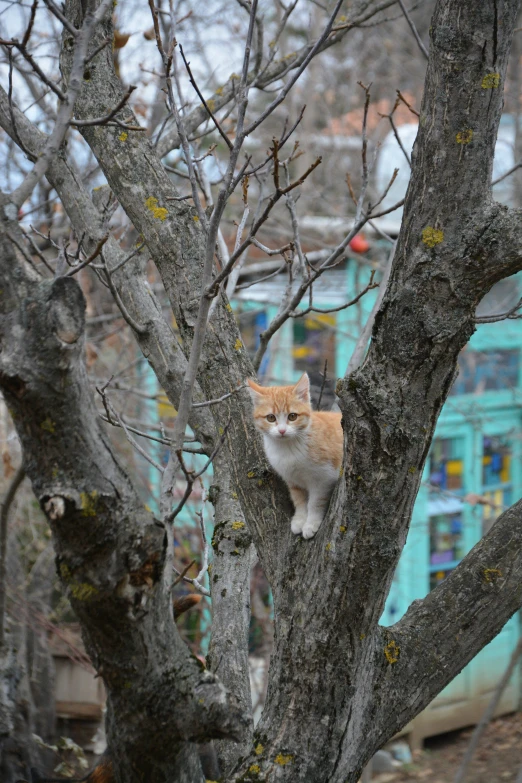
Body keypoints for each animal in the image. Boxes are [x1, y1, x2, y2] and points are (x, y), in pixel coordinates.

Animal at [247, 374, 344, 540]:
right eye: (271, 418)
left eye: (292, 416)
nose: (282, 430)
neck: (288, 449)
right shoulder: (292, 479)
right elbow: (299, 500)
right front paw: (299, 520)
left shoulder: (324, 478)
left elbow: (315, 502)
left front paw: (311, 524)